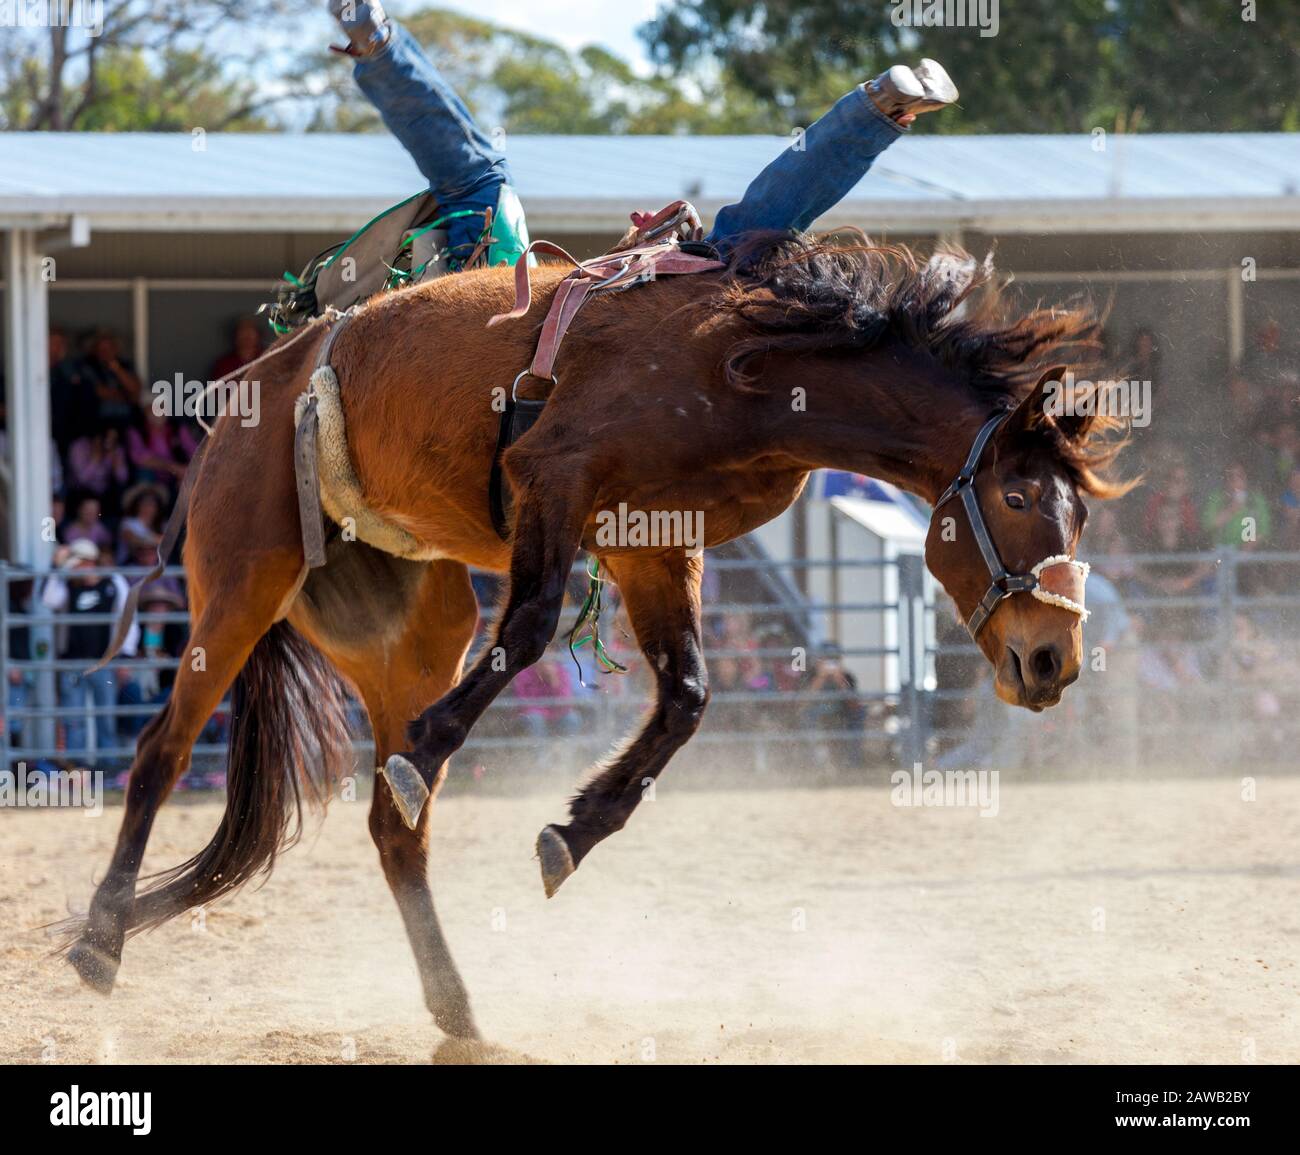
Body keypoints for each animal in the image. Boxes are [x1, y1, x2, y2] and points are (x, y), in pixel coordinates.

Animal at [53, 232, 1128, 1035]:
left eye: (1079, 515)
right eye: (1019, 496)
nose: (1053, 660)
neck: (743, 362)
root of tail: (250, 393)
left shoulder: (652, 542)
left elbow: (686, 697)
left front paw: (571, 831)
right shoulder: (554, 477)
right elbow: (532, 627)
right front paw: (443, 749)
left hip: (413, 628)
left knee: (396, 831)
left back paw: (456, 1006)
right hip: (240, 580)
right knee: (159, 753)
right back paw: (103, 938)